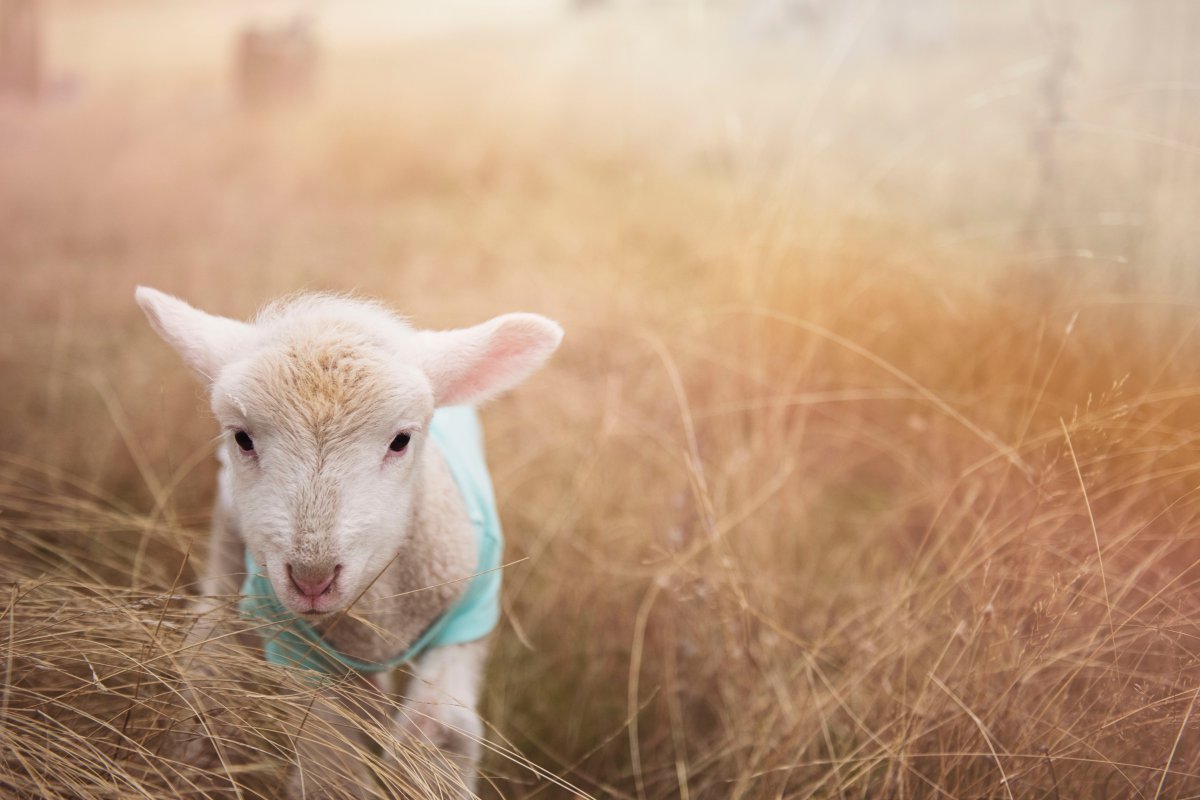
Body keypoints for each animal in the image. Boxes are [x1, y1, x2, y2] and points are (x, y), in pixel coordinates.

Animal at [133, 289, 564, 800]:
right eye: (242, 438)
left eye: (401, 440)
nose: (312, 578)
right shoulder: (303, 648)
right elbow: (330, 765)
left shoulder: (465, 619)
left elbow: (439, 735)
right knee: (211, 657)